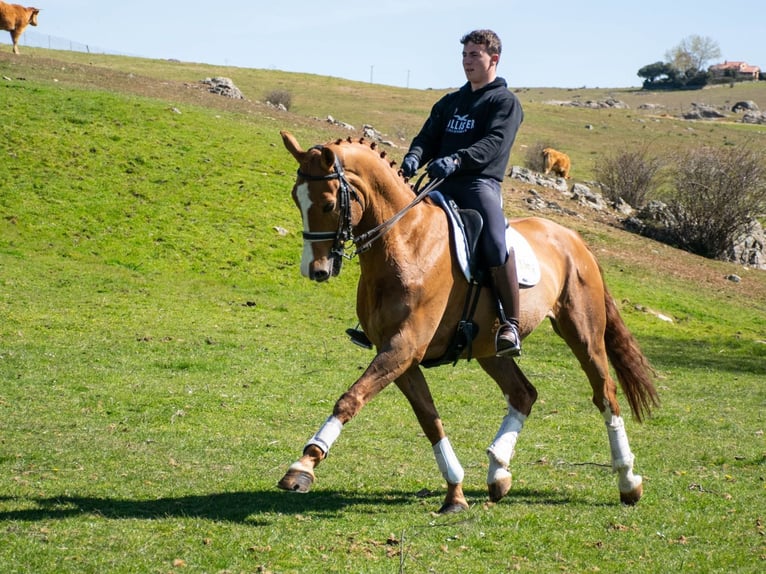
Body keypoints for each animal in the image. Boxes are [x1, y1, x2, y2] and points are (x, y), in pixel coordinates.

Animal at [277, 131, 658, 514]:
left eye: (328, 204)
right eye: (296, 199)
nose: (315, 270)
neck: (405, 242)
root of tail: (574, 239)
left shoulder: (403, 347)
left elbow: (351, 399)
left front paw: (303, 466)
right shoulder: (401, 355)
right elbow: (429, 419)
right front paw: (455, 492)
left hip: (582, 334)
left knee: (605, 394)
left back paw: (628, 481)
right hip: (489, 347)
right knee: (523, 393)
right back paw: (498, 472)